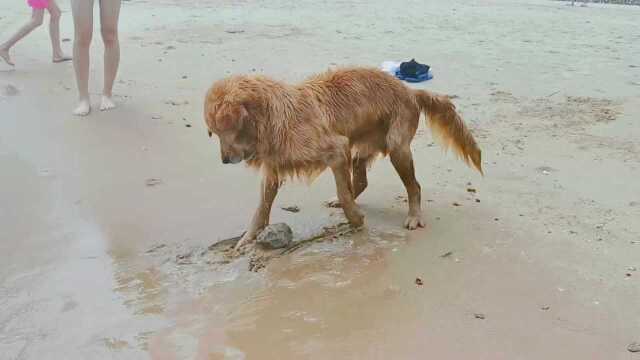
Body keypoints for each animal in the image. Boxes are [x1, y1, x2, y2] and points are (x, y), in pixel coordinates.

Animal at [205, 67, 480, 248]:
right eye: (213, 132)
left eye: (222, 131)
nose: (224, 160)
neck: (276, 118)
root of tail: (411, 91)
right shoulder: (274, 168)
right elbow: (262, 207)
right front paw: (248, 238)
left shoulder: (337, 150)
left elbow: (343, 190)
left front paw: (356, 220)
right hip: (360, 148)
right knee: (361, 181)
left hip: (397, 148)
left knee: (414, 186)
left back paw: (414, 217)